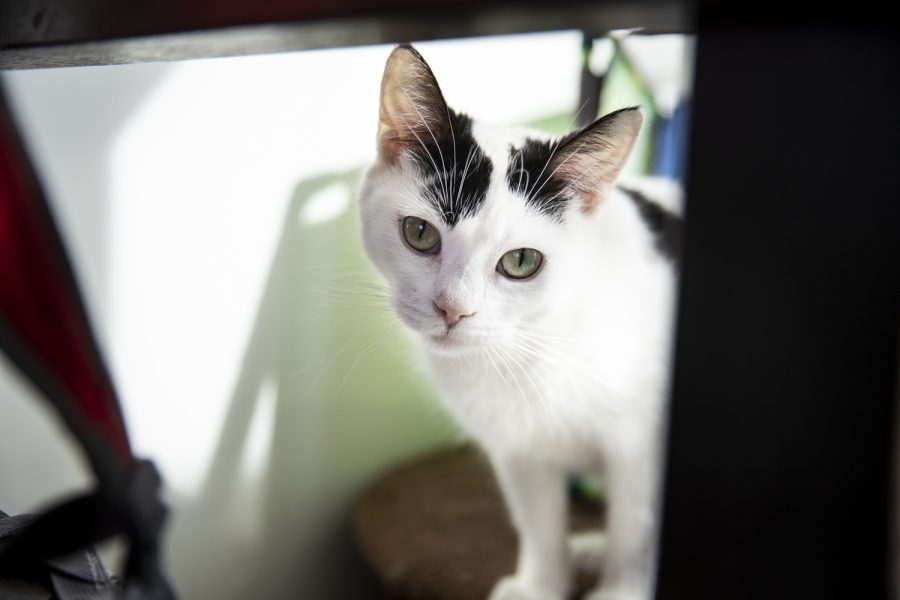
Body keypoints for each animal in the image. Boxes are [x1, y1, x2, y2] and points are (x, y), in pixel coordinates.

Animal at [358, 44, 684, 596]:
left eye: (521, 261)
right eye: (420, 233)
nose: (453, 309)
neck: (536, 343)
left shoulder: (641, 445)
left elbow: (635, 524)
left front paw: (623, 589)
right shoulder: (518, 449)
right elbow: (539, 522)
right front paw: (541, 586)